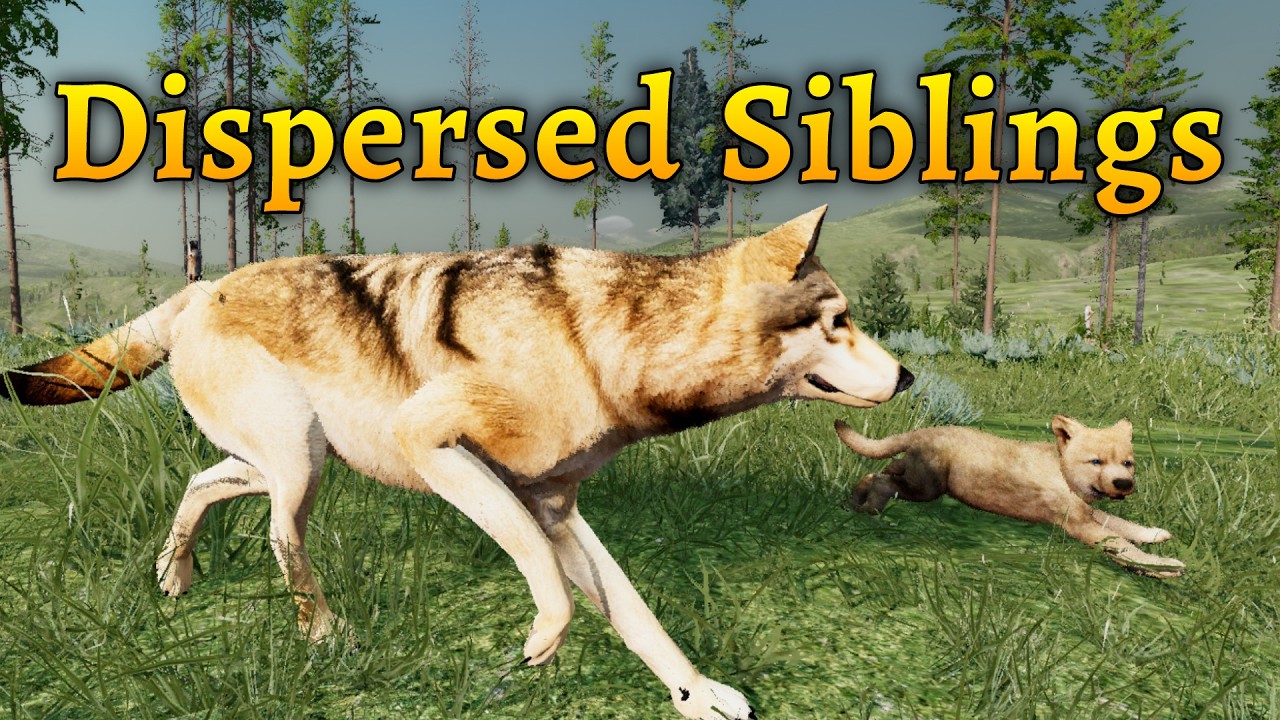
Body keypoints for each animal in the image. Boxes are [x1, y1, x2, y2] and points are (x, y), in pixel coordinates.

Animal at [1, 207, 912, 720]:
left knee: (204, 485)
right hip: (301, 466)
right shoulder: (434, 447)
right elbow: (553, 587)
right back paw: (322, 634)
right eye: (839, 322)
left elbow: (637, 614)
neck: (601, 345)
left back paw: (174, 577)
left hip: (292, 457)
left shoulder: (555, 507)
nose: (907, 377)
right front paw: (541, 644)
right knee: (279, 537)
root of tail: (201, 287)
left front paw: (696, 697)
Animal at [834, 416, 1185, 578]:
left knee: (880, 471)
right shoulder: (1080, 524)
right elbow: (1121, 545)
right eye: (1096, 461)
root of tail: (924, 430)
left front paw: (1155, 534)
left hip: (916, 479)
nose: (1123, 484)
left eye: (1127, 463)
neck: (1061, 469)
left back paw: (856, 500)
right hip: (926, 488)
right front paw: (1165, 567)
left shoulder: (1087, 512)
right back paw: (869, 507)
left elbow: (1121, 525)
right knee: (883, 479)